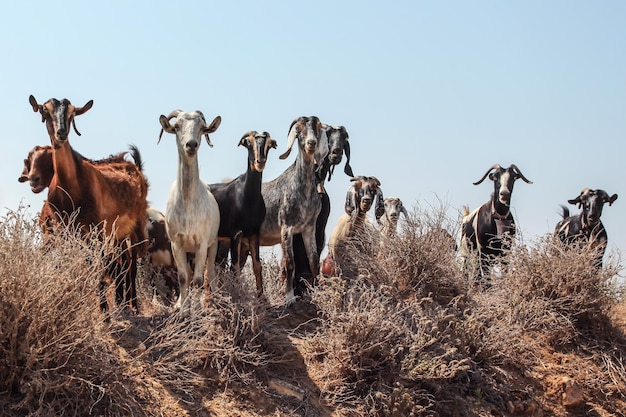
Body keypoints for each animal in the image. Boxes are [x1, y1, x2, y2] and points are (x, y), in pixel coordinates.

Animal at [157, 109, 221, 314]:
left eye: (202, 127)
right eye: (177, 126)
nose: (191, 145)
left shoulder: (202, 242)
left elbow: (199, 280)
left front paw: (198, 311)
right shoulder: (176, 243)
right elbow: (183, 277)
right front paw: (183, 309)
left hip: (213, 243)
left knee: (210, 271)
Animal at [210, 130, 276, 296]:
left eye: (269, 145)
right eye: (248, 143)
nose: (260, 161)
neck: (248, 197)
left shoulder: (254, 234)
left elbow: (257, 265)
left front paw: (261, 297)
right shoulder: (236, 234)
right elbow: (235, 267)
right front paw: (237, 294)